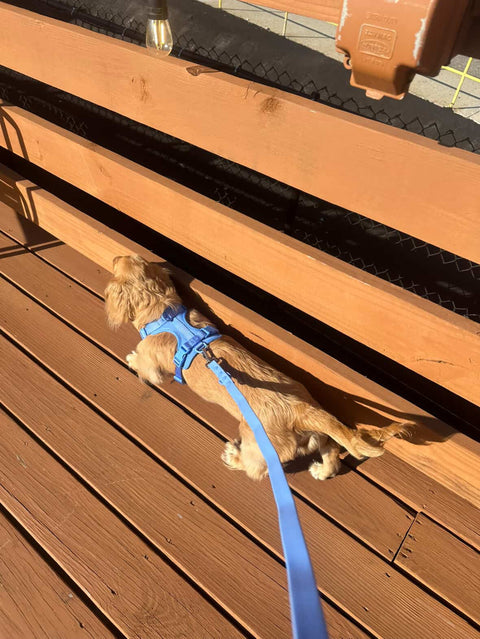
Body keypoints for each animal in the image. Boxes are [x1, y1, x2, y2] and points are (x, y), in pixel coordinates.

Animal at [105, 255, 410, 481]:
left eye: (118, 263)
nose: (116, 256)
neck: (164, 312)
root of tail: (301, 410)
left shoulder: (151, 362)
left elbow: (143, 364)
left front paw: (131, 359)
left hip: (257, 445)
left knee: (254, 468)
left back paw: (233, 457)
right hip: (319, 434)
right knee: (332, 452)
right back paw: (322, 471)